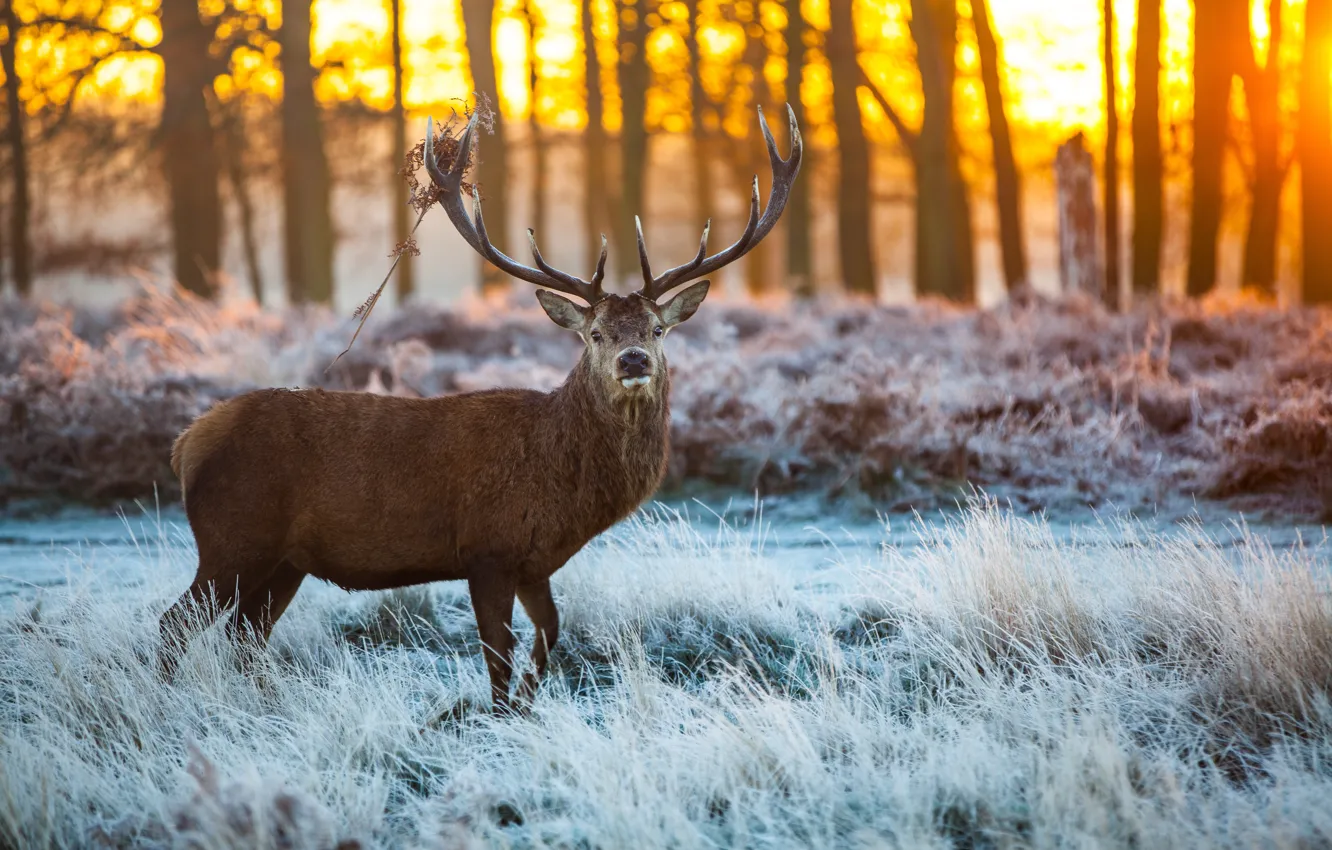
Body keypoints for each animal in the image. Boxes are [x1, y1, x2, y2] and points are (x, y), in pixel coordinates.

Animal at [157, 101, 802, 713]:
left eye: (657, 329)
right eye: (595, 333)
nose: (634, 360)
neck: (567, 490)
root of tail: (185, 444)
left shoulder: (535, 563)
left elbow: (549, 636)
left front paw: (526, 705)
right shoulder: (487, 550)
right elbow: (498, 654)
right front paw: (498, 716)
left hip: (284, 561)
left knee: (244, 637)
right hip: (232, 539)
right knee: (175, 626)